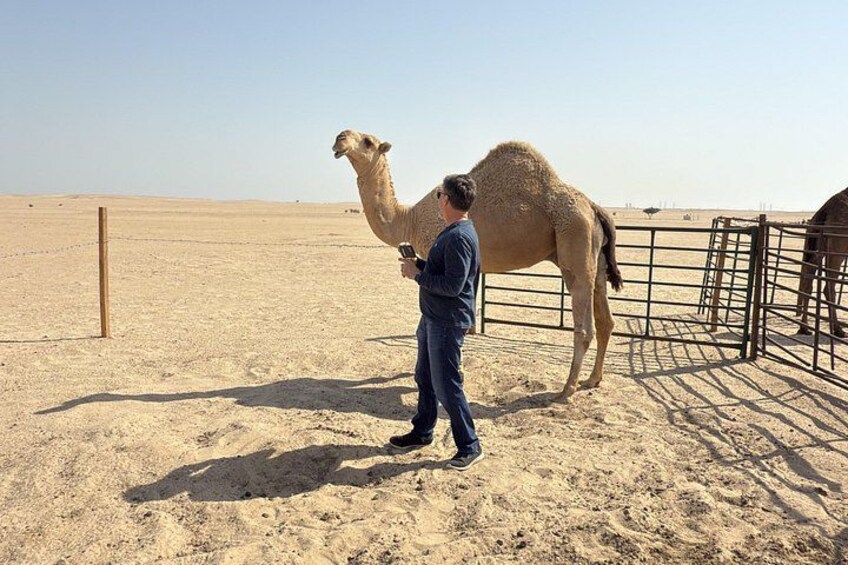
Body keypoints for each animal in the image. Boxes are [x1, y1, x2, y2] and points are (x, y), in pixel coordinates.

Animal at [332, 129, 623, 402]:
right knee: (605, 318)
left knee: (584, 322)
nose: (340, 138)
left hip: (574, 236)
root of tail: (593, 207)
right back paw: (592, 379)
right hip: (595, 254)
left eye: (368, 141)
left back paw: (565, 391)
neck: (409, 219)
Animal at [796, 187, 848, 339]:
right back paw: (838, 330)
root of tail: (825, 210)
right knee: (829, 286)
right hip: (838, 245)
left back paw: (804, 328)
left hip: (817, 242)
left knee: (808, 281)